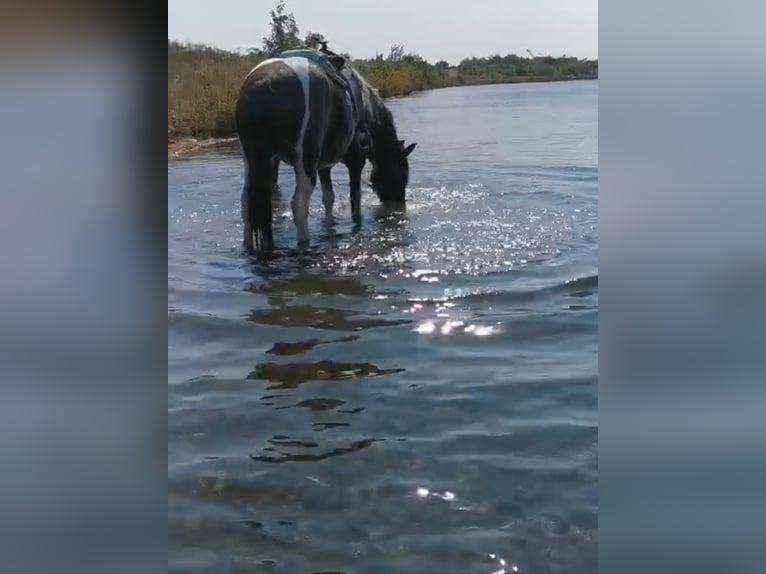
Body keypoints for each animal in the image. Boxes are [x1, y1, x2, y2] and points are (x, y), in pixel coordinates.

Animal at [235, 50, 416, 255]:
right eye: (402, 175)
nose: (399, 208)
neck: (366, 108)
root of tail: (264, 84)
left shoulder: (324, 166)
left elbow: (329, 199)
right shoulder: (356, 162)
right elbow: (355, 200)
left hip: (253, 161)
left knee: (246, 204)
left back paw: (248, 246)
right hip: (304, 164)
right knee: (299, 205)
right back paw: (304, 244)